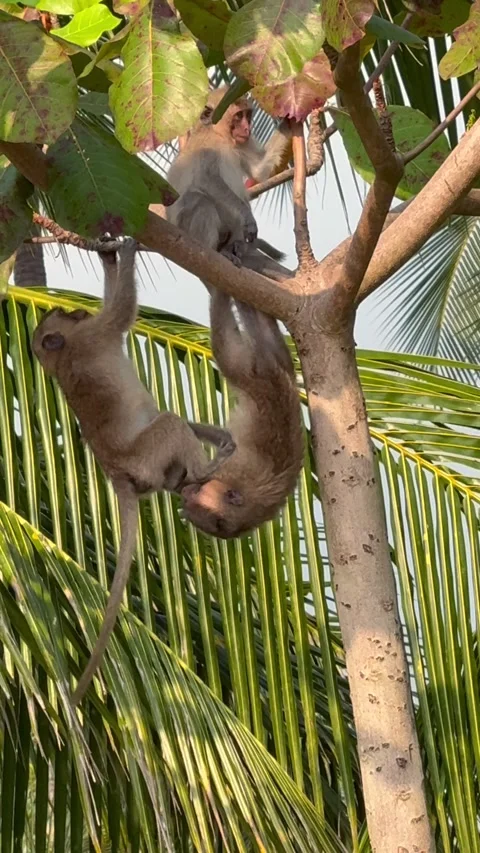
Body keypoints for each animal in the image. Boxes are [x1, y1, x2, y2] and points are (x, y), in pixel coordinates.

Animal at [32, 239, 235, 705]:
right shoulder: (95, 335)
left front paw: (108, 254)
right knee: (169, 424)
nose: (74, 310)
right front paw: (124, 249)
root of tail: (118, 475)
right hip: (147, 454)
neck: (61, 357)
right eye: (64, 316)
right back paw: (203, 473)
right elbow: (122, 310)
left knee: (168, 419)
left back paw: (203, 461)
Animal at [166, 85, 292, 280]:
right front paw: (248, 217)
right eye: (239, 116)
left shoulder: (243, 143)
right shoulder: (207, 146)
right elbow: (207, 179)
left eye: (248, 115)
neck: (220, 136)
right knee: (199, 199)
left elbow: (259, 169)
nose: (247, 129)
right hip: (183, 229)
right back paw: (212, 252)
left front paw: (292, 120)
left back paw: (235, 247)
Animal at [181, 290, 304, 538]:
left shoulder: (236, 471)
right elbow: (223, 437)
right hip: (273, 367)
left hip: (249, 370)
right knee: (270, 340)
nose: (184, 493)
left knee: (223, 344)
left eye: (194, 496)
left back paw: (218, 292)